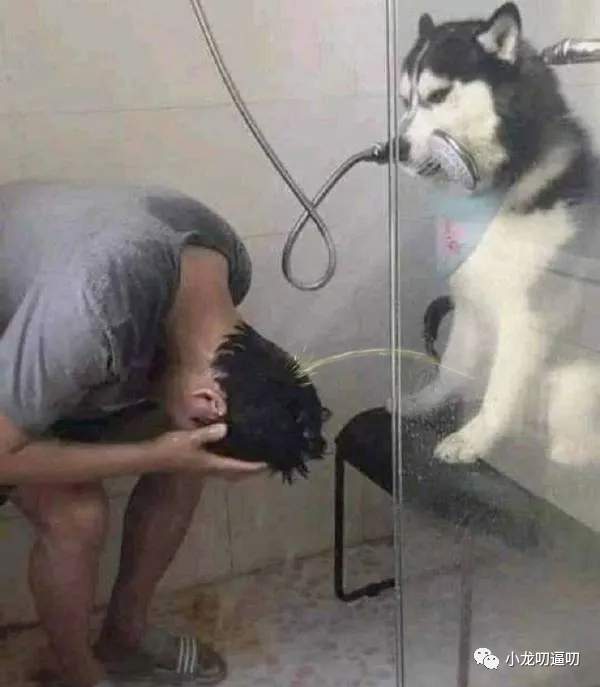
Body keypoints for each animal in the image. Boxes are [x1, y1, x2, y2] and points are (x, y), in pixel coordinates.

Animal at [400, 2, 600, 466]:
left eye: (437, 96)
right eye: (405, 100)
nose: (396, 148)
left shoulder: (528, 319)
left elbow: (500, 391)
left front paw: (474, 439)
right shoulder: (471, 301)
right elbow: (452, 366)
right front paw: (426, 403)